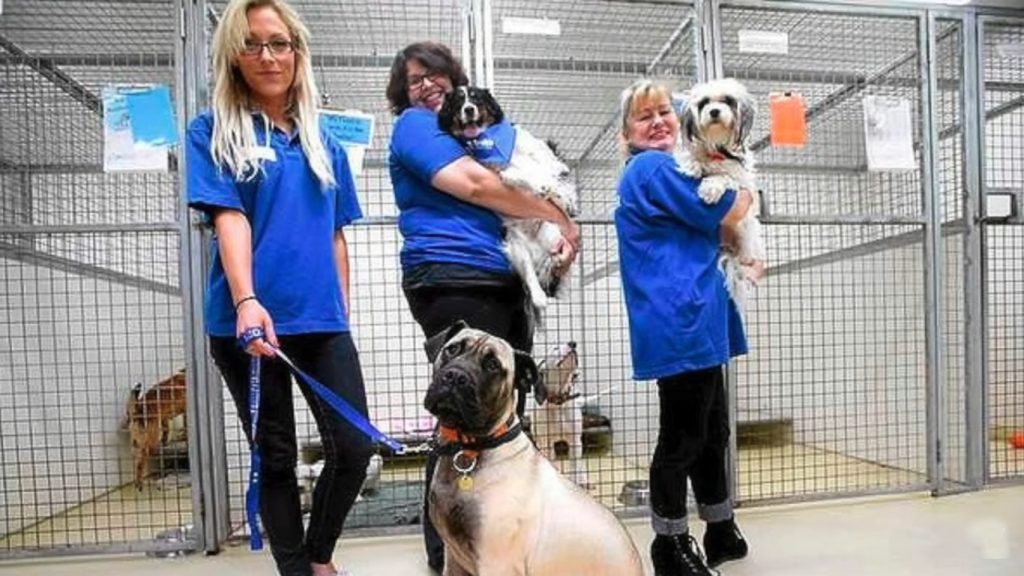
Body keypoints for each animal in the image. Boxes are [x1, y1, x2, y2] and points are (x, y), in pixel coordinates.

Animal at [438, 86, 579, 317]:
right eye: (458, 102)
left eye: (476, 98)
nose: (469, 109)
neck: (489, 139)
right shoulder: (493, 171)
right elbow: (514, 174)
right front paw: (539, 185)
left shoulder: (538, 152)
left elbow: (549, 170)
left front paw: (558, 194)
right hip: (515, 244)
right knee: (532, 273)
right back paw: (539, 296)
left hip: (551, 233)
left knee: (552, 263)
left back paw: (557, 259)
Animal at [530, 341, 589, 488]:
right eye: (555, 348)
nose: (573, 343)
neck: (558, 403)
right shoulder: (546, 443)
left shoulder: (575, 442)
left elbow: (575, 467)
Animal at [676, 78, 766, 309]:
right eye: (704, 103)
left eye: (727, 100)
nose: (715, 111)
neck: (717, 149)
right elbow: (690, 156)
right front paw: (691, 164)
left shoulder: (741, 184)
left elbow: (724, 177)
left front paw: (709, 188)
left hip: (747, 233)